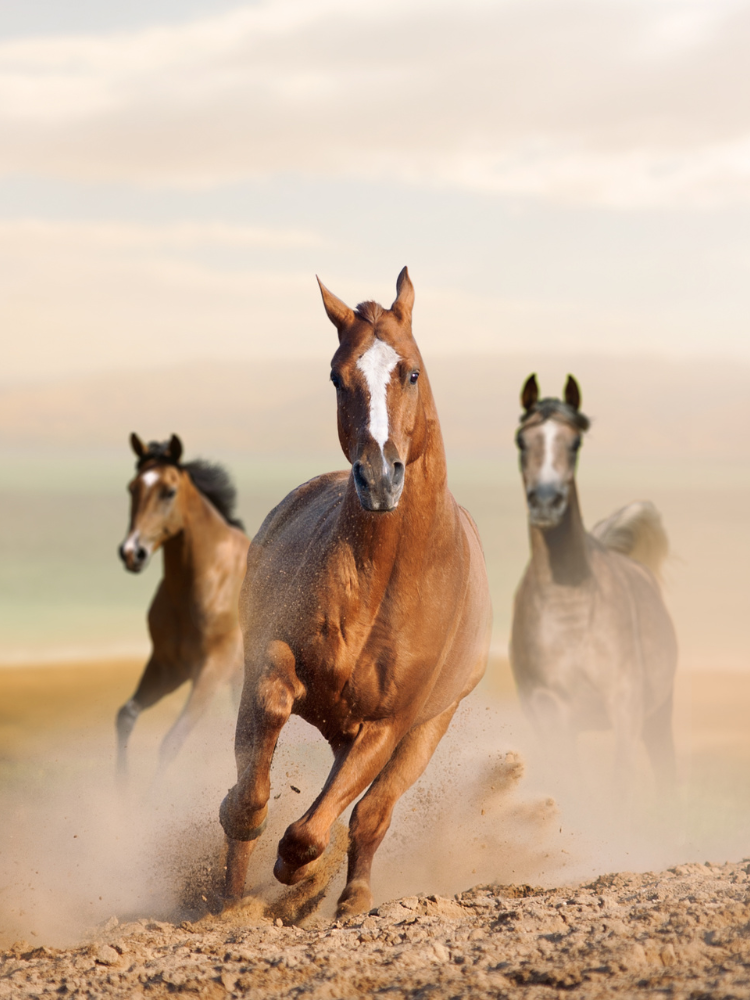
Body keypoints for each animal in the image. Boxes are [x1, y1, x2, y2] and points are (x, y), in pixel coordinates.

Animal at [116, 434, 250, 781]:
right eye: (132, 488)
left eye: (169, 491)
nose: (132, 552)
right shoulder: (169, 667)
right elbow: (126, 716)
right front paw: (121, 790)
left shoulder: (213, 668)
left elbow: (172, 741)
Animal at [219, 268, 492, 918]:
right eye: (338, 377)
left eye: (410, 372)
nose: (379, 478)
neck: (385, 580)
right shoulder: (273, 659)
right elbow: (263, 740)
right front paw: (248, 829)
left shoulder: (389, 724)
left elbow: (323, 827)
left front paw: (300, 871)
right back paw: (237, 896)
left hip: (427, 728)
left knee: (371, 813)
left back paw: (350, 898)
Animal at [510, 375, 677, 793]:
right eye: (522, 441)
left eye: (575, 442)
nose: (546, 503)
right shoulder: (550, 715)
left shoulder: (625, 706)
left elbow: (619, 785)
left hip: (658, 715)